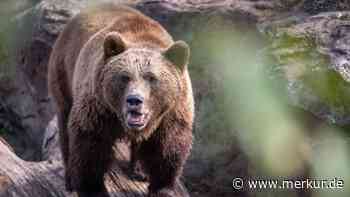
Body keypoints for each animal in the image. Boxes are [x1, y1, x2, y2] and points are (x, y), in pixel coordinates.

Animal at [47, 2, 194, 197]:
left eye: (151, 78)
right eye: (125, 77)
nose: (134, 100)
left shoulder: (172, 110)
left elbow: (168, 145)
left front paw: (162, 187)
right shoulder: (99, 107)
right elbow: (89, 144)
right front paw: (93, 188)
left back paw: (140, 171)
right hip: (63, 70)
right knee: (64, 124)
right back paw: (70, 179)